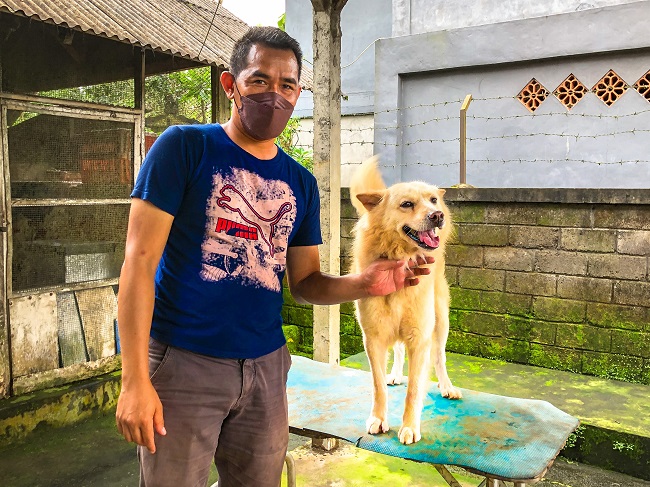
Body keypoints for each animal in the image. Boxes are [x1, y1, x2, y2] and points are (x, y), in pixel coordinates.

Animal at [350, 156, 462, 445]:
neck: (401, 255)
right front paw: (378, 418)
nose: (438, 216)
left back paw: (447, 386)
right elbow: (377, 385)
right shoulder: (374, 338)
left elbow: (414, 388)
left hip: (441, 323)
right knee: (398, 351)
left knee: (440, 356)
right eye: (407, 204)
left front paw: (410, 426)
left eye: (432, 200)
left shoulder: (419, 338)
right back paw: (396, 374)